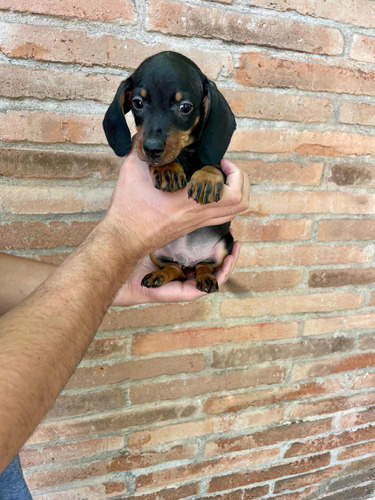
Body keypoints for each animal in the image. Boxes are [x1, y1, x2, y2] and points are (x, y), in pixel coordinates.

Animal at [103, 49, 236, 292]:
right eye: (137, 103)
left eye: (185, 107)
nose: (151, 149)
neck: (184, 155)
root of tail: (187, 260)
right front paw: (168, 169)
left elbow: (214, 167)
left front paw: (207, 179)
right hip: (157, 252)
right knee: (176, 269)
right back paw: (161, 275)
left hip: (225, 244)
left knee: (204, 265)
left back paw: (205, 276)